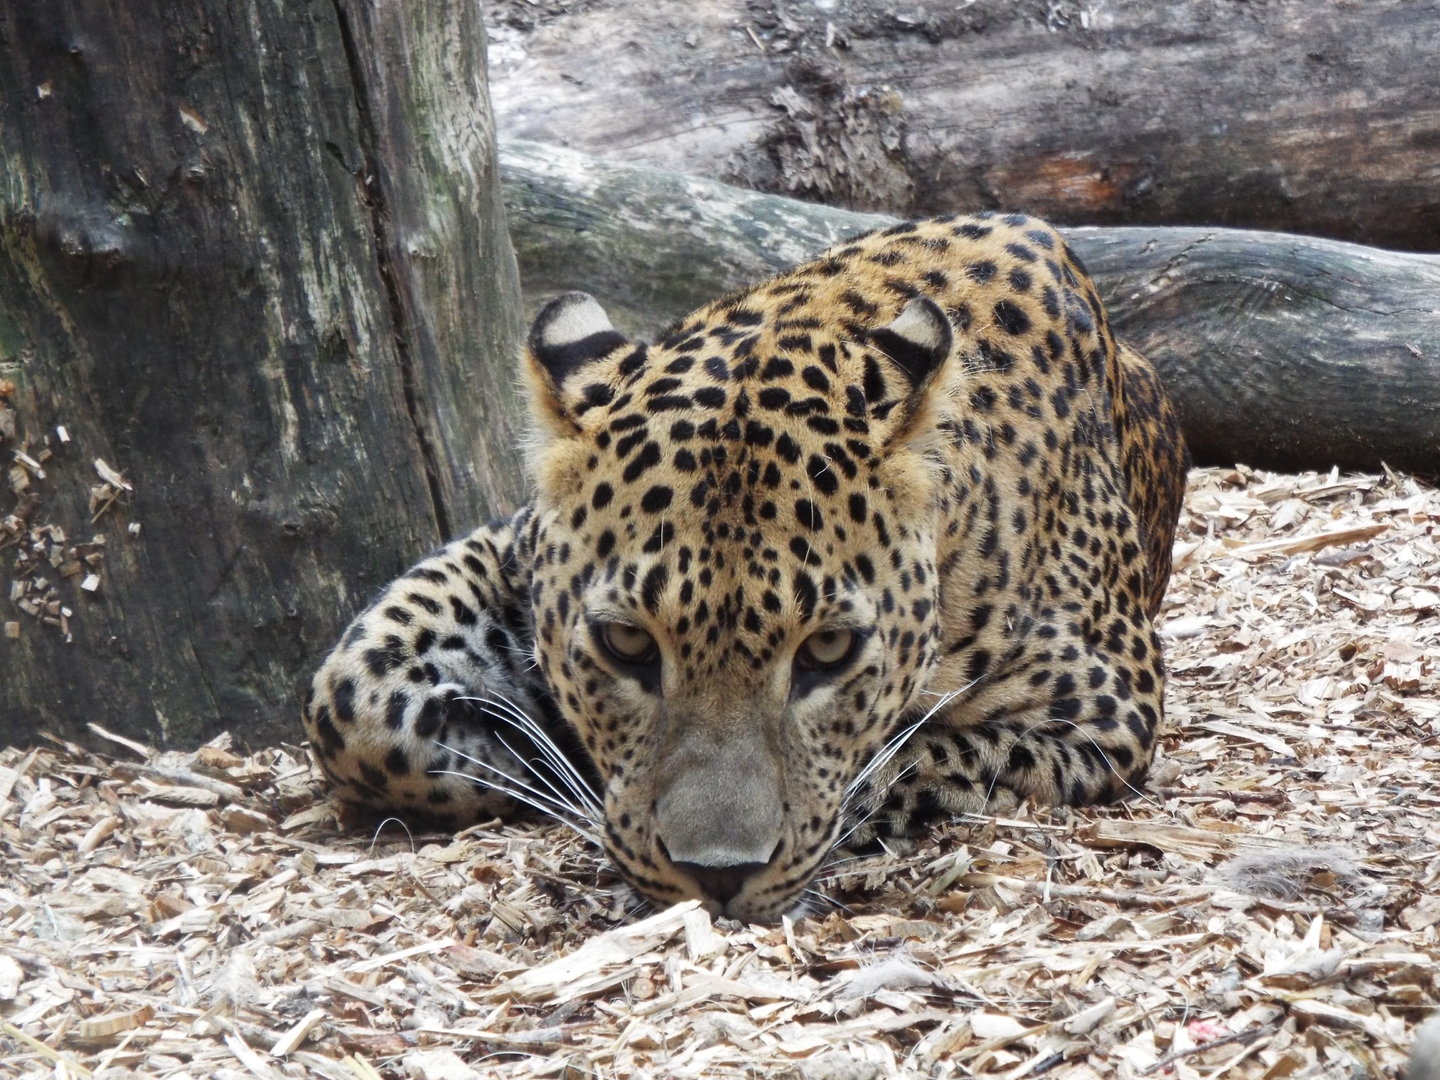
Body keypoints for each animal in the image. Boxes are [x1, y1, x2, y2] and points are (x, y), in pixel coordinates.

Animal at [302, 212, 1188, 923]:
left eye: (827, 650)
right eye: (627, 644)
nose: (715, 876)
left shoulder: (1109, 708)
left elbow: (916, 755)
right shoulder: (510, 546)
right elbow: (352, 698)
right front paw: (529, 753)